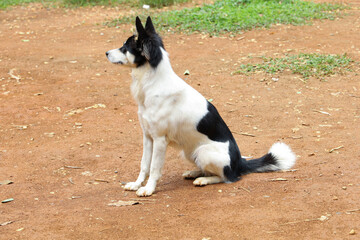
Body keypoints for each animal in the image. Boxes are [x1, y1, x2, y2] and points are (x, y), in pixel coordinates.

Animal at [105, 16, 296, 197]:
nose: (106, 53)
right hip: (189, 151)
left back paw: (204, 179)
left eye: (125, 48)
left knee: (227, 177)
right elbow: (144, 164)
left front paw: (148, 189)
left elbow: (154, 168)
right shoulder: (148, 137)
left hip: (204, 152)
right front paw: (137, 184)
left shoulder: (159, 140)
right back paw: (194, 172)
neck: (153, 81)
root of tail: (240, 162)